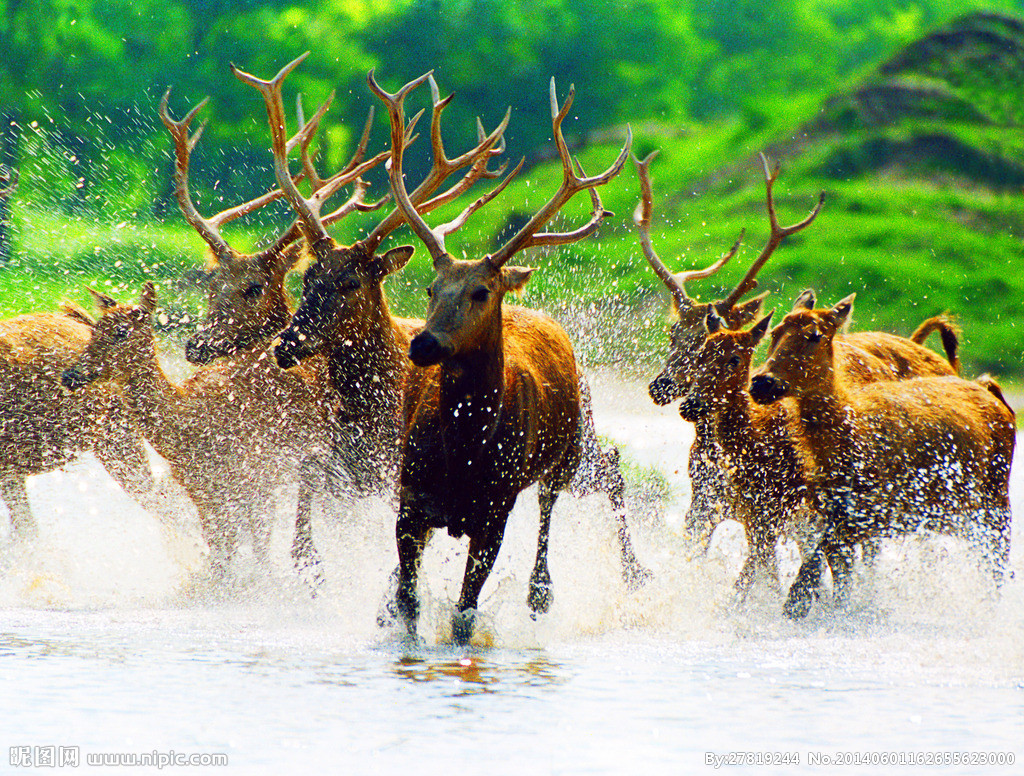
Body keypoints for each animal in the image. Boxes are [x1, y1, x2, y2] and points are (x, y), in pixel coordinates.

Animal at [61, 286, 331, 577]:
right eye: (94, 329)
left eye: (121, 332)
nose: (70, 375)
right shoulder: (202, 492)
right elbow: (222, 554)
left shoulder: (257, 479)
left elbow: (258, 552)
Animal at [372, 71, 634, 642]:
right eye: (430, 288)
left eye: (480, 292)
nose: (423, 344)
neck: (464, 449)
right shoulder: (410, 498)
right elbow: (408, 602)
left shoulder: (494, 510)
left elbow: (464, 614)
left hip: (568, 452)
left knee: (552, 515)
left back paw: (546, 592)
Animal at [749, 296, 1019, 618]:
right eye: (775, 331)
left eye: (814, 335)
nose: (761, 383)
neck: (846, 437)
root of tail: (994, 395)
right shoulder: (833, 512)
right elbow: (837, 575)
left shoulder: (879, 511)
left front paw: (796, 603)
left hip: (995, 502)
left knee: (997, 563)